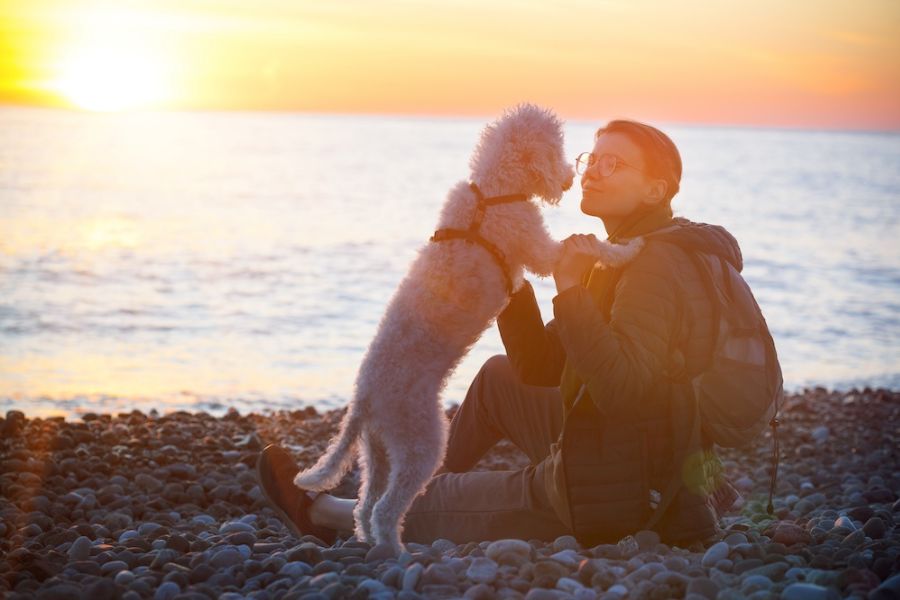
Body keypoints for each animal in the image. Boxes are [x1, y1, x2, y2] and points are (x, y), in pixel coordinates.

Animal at [298, 103, 648, 552]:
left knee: (365, 504)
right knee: (385, 509)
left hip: (378, 450)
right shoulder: (538, 246)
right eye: (555, 148)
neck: (494, 190)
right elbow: (586, 245)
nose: (570, 180)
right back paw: (396, 552)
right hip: (421, 441)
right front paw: (629, 249)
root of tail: (364, 399)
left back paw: (372, 541)